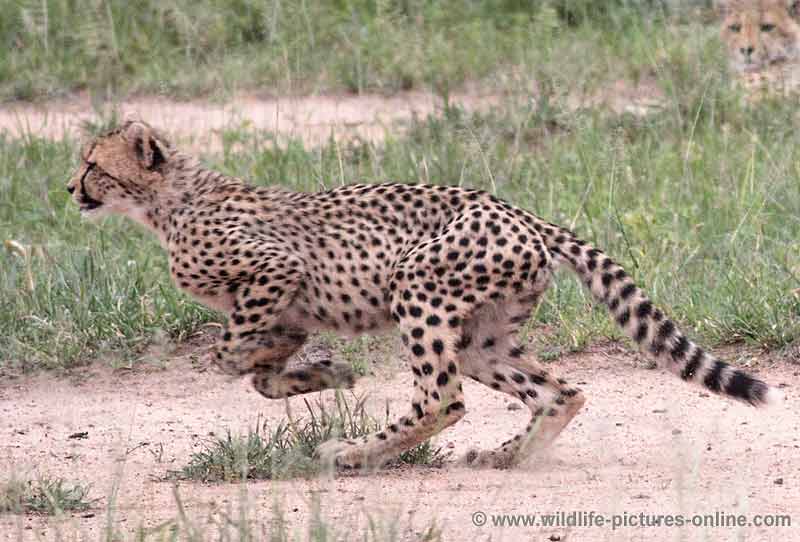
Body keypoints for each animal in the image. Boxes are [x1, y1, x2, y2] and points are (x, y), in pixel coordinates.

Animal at [69, 121, 780, 470]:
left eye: (93, 164)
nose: (69, 189)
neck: (167, 203)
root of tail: (519, 210)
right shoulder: (288, 305)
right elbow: (264, 374)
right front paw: (325, 371)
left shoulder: (276, 268)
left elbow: (229, 355)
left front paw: (302, 369)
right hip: (483, 336)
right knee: (560, 391)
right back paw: (507, 457)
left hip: (417, 285)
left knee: (443, 399)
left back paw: (354, 453)